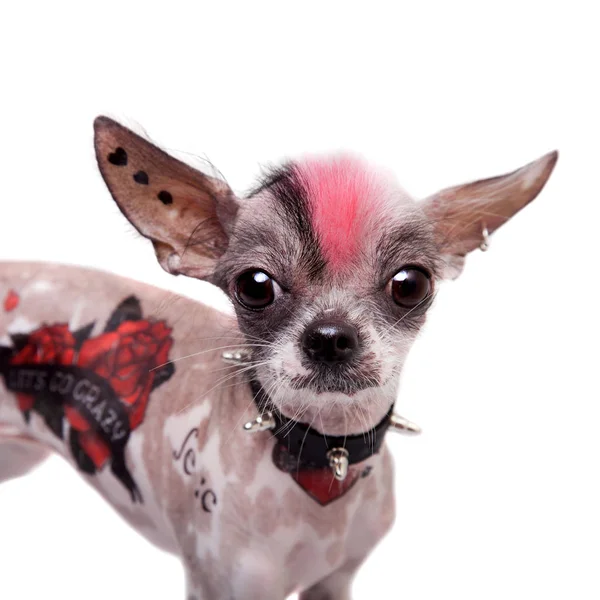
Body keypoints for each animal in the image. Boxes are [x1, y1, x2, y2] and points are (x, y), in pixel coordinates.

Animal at [0, 115, 556, 596]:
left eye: (410, 283)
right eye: (254, 285)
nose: (330, 335)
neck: (324, 459)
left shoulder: (334, 583)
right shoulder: (221, 588)